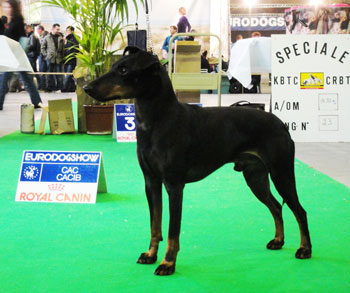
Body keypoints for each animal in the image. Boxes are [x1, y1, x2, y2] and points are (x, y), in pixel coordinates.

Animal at [84, 46, 312, 274]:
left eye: (123, 70)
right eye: (114, 67)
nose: (86, 87)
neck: (157, 120)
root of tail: (281, 124)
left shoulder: (174, 186)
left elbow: (172, 231)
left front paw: (167, 263)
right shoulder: (151, 182)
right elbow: (155, 225)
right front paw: (150, 255)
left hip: (281, 173)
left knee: (300, 211)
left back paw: (304, 249)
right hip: (255, 177)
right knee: (276, 206)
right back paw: (278, 241)